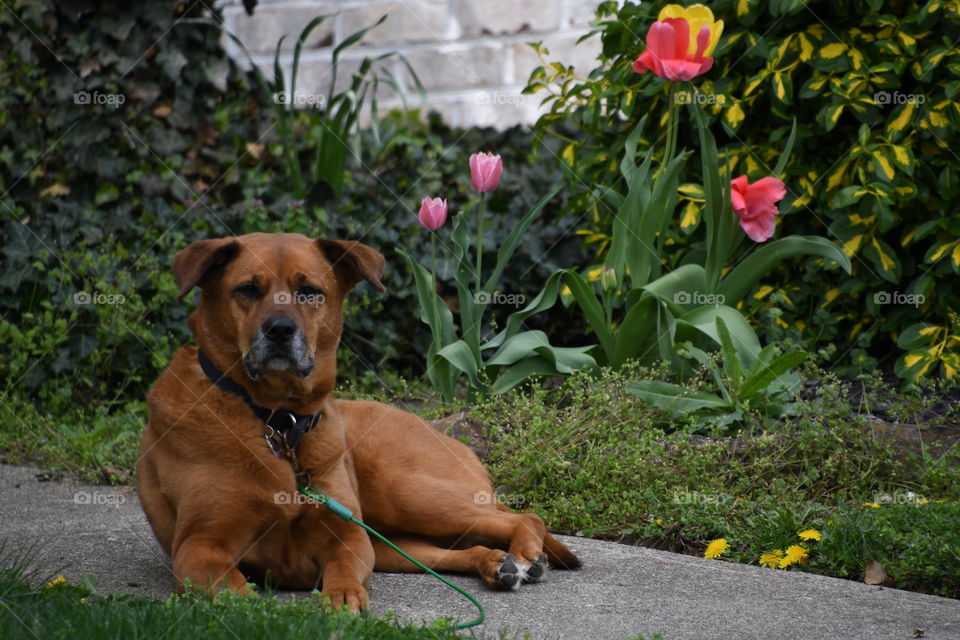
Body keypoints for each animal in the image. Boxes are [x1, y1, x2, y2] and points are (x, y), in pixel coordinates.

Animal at [138, 234, 580, 608]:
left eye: (309, 291)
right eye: (247, 289)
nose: (280, 330)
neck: (278, 422)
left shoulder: (348, 533)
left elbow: (344, 570)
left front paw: (342, 597)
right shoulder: (198, 544)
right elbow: (230, 586)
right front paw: (251, 609)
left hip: (407, 494)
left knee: (523, 516)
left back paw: (526, 555)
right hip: (394, 541)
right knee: (466, 549)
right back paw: (497, 563)